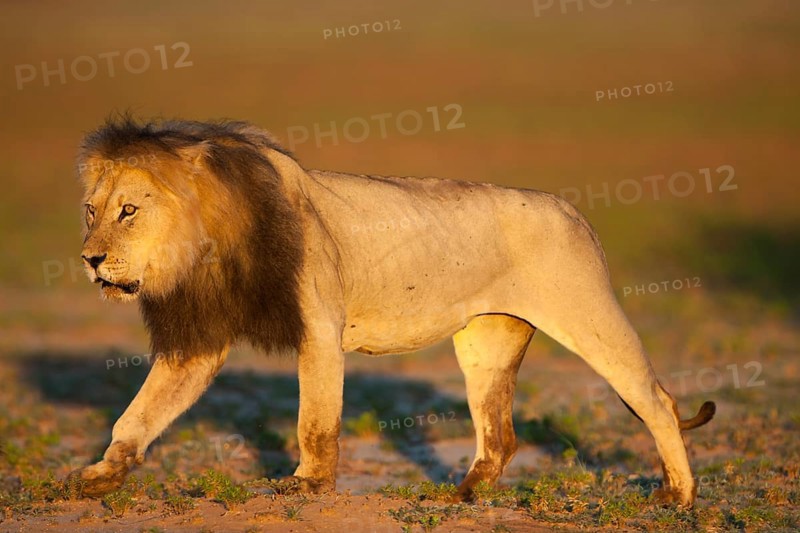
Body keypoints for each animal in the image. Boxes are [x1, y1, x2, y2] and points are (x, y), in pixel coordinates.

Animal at [69, 117, 715, 505]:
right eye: (90, 210)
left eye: (129, 210)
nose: (89, 260)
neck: (203, 249)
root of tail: (573, 209)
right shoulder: (197, 343)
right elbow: (138, 414)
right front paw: (100, 476)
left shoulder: (319, 326)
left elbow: (315, 421)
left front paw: (308, 485)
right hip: (485, 344)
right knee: (500, 435)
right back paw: (462, 497)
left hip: (588, 315)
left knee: (656, 401)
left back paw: (678, 497)